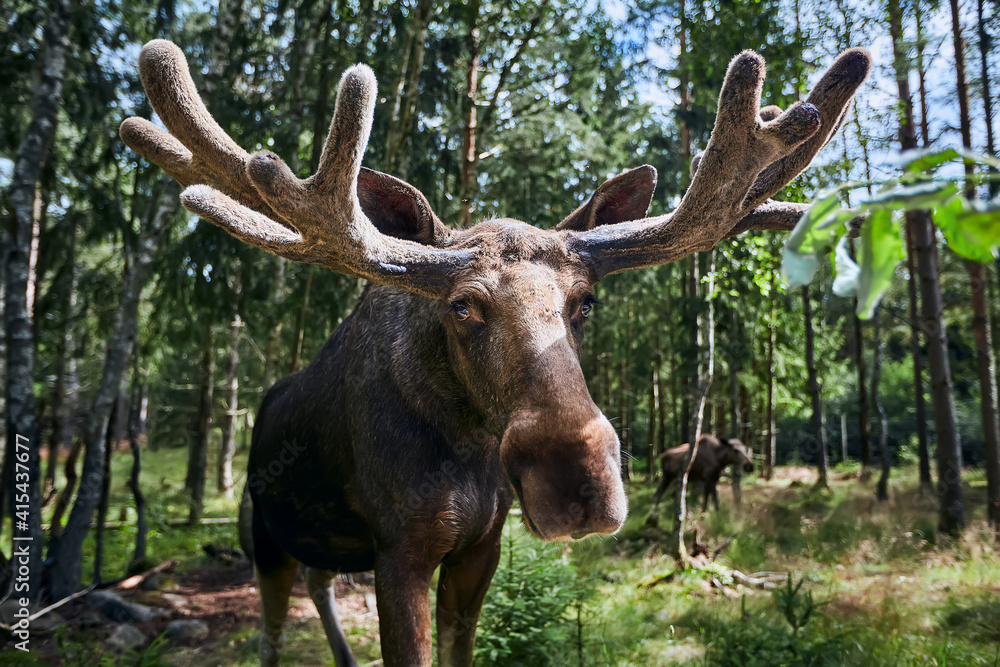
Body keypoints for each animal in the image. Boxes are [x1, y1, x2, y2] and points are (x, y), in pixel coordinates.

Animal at [119, 39, 870, 667]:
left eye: (584, 301)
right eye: (462, 306)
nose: (578, 480)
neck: (468, 441)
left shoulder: (481, 545)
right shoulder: (400, 547)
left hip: (317, 541)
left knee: (319, 582)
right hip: (264, 534)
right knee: (273, 632)